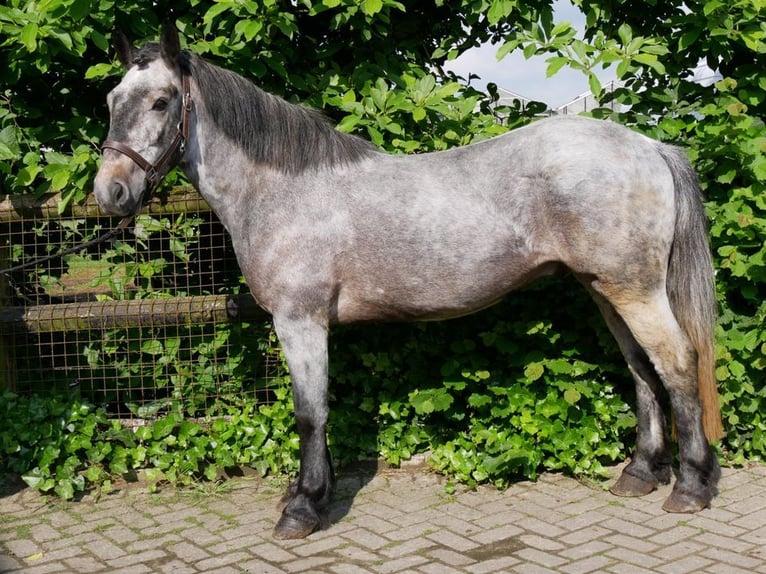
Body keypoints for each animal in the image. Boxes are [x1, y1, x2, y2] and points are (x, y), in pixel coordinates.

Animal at [93, 24, 724, 544]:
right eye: (110, 101)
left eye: (162, 101)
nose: (110, 193)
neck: (283, 191)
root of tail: (649, 147)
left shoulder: (300, 321)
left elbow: (309, 412)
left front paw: (302, 509)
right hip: (606, 288)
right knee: (642, 370)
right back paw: (639, 474)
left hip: (634, 290)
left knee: (677, 363)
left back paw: (690, 487)